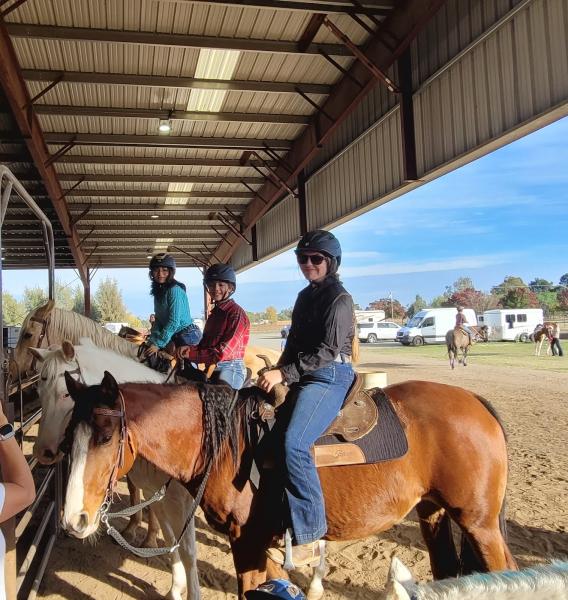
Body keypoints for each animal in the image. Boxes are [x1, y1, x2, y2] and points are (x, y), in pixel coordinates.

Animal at [61, 372, 516, 596]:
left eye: (105, 437)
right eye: (69, 438)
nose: (73, 520)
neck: (226, 444)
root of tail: (475, 402)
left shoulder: (247, 541)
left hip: (479, 523)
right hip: (434, 512)